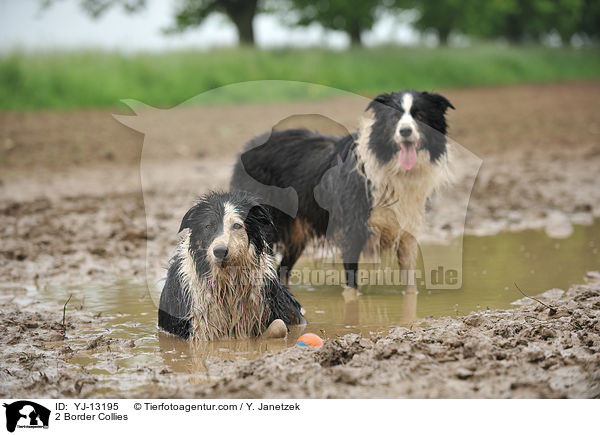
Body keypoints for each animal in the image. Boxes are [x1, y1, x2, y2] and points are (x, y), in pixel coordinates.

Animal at [231, 90, 454, 290]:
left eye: (420, 116)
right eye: (394, 118)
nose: (405, 131)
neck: (391, 166)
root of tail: (247, 147)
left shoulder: (406, 231)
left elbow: (410, 287)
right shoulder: (352, 228)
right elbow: (352, 286)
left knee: (281, 271)